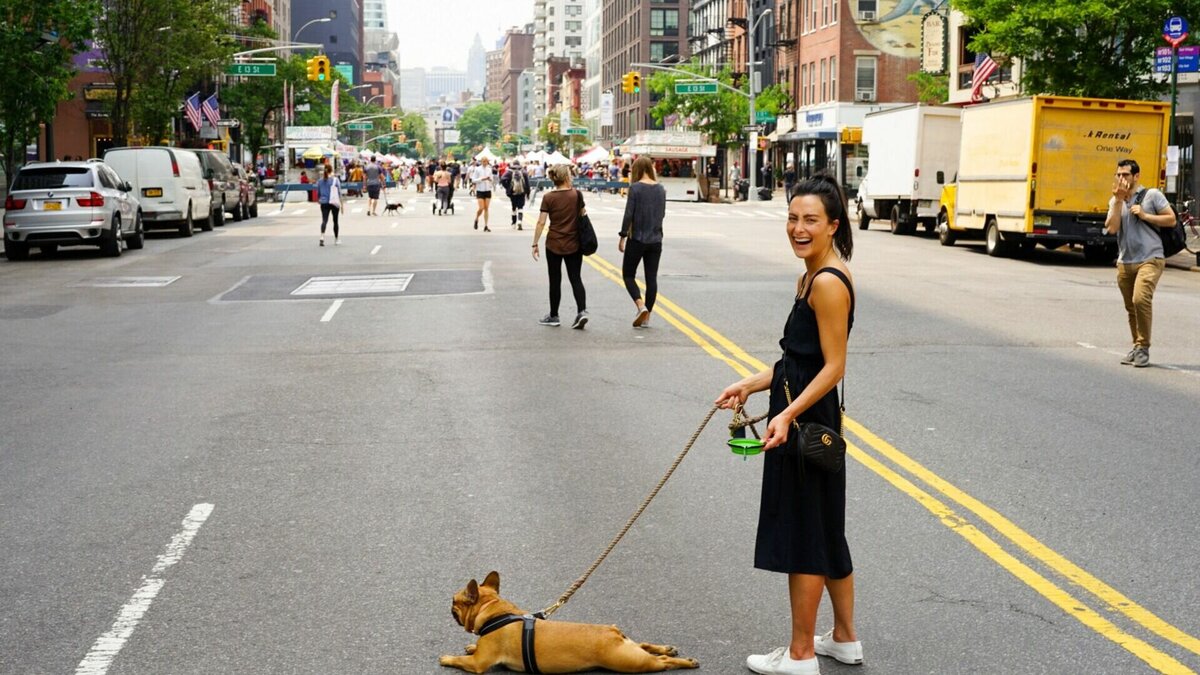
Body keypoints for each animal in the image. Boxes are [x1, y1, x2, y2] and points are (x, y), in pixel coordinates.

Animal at [441, 569, 700, 667]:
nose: (448, 604)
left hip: (630, 662)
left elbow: (461, 660)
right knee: (645, 644)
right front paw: (471, 645)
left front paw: (446, 658)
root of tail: (613, 631)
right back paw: (667, 648)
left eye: (454, 601)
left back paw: (685, 662)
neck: (496, 612)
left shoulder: (478, 664)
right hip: (631, 649)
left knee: (661, 663)